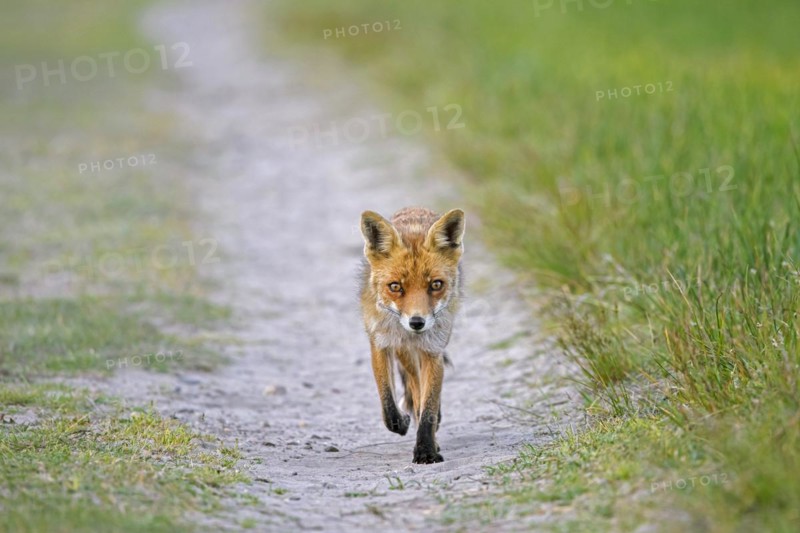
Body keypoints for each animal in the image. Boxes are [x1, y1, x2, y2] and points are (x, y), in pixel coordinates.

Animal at [359, 206, 465, 464]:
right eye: (395, 287)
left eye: (436, 285)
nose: (417, 322)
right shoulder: (381, 343)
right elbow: (388, 403)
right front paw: (402, 423)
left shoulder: (432, 351)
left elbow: (428, 408)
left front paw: (426, 449)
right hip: (403, 353)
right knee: (411, 388)